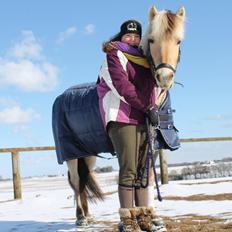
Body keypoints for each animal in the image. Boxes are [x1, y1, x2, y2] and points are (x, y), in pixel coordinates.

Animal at [51, 5, 186, 227]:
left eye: (178, 41)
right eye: (151, 40)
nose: (164, 78)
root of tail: (61, 97)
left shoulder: (152, 146)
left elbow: (146, 180)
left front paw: (151, 217)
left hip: (88, 155)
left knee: (83, 179)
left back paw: (88, 215)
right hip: (71, 155)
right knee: (77, 182)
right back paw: (81, 218)